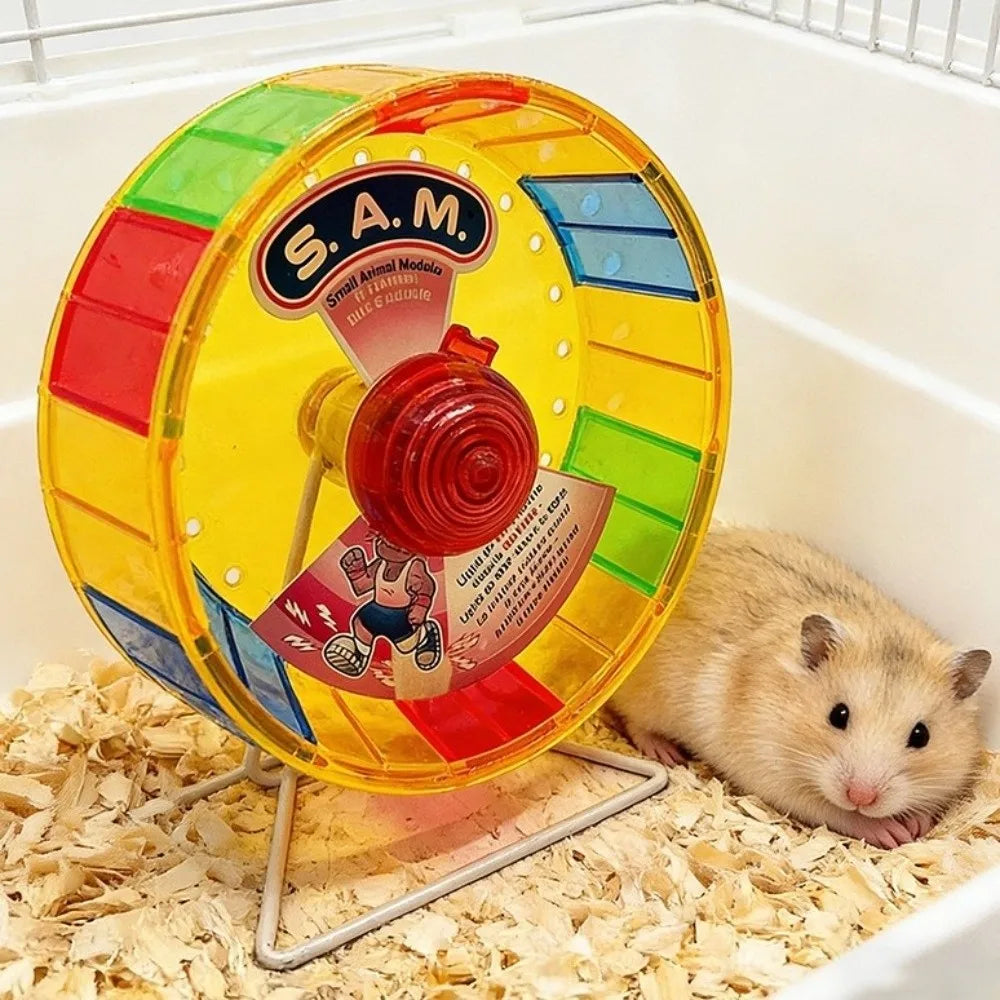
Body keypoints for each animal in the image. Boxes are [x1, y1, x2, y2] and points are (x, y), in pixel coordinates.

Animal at [608, 525, 992, 848]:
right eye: (838, 715)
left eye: (921, 736)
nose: (862, 797)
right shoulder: (773, 773)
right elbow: (834, 812)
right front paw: (893, 832)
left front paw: (917, 823)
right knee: (634, 723)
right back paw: (666, 753)